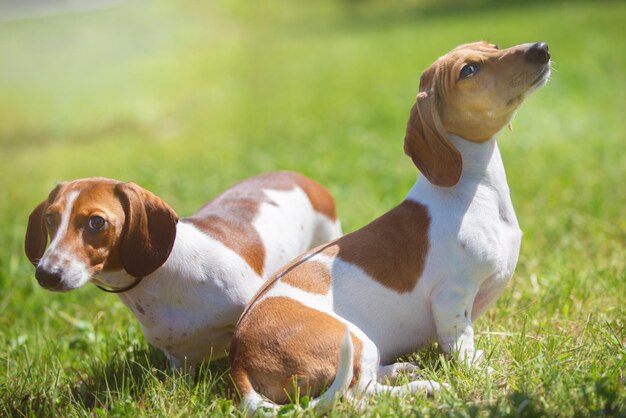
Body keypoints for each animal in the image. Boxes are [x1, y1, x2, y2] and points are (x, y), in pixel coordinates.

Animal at [24, 170, 338, 370]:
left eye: (96, 222)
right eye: (50, 218)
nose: (46, 274)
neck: (162, 279)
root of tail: (301, 178)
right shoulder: (178, 361)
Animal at [230, 40, 552, 414]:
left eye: (494, 46)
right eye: (468, 70)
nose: (541, 48)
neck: (473, 190)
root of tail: (238, 358)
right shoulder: (451, 298)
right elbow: (461, 347)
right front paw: (479, 371)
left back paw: (400, 370)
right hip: (355, 340)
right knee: (358, 395)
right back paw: (424, 388)